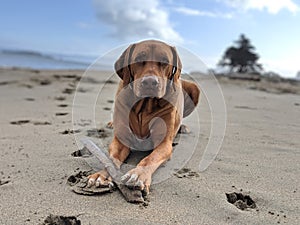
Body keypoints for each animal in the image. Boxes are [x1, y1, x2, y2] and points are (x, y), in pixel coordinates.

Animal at [86, 39, 199, 194]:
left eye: (165, 61)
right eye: (139, 59)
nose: (150, 82)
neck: (145, 105)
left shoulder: (164, 144)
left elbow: (150, 158)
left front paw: (138, 175)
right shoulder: (121, 139)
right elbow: (111, 159)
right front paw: (102, 175)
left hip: (194, 88)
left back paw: (183, 127)